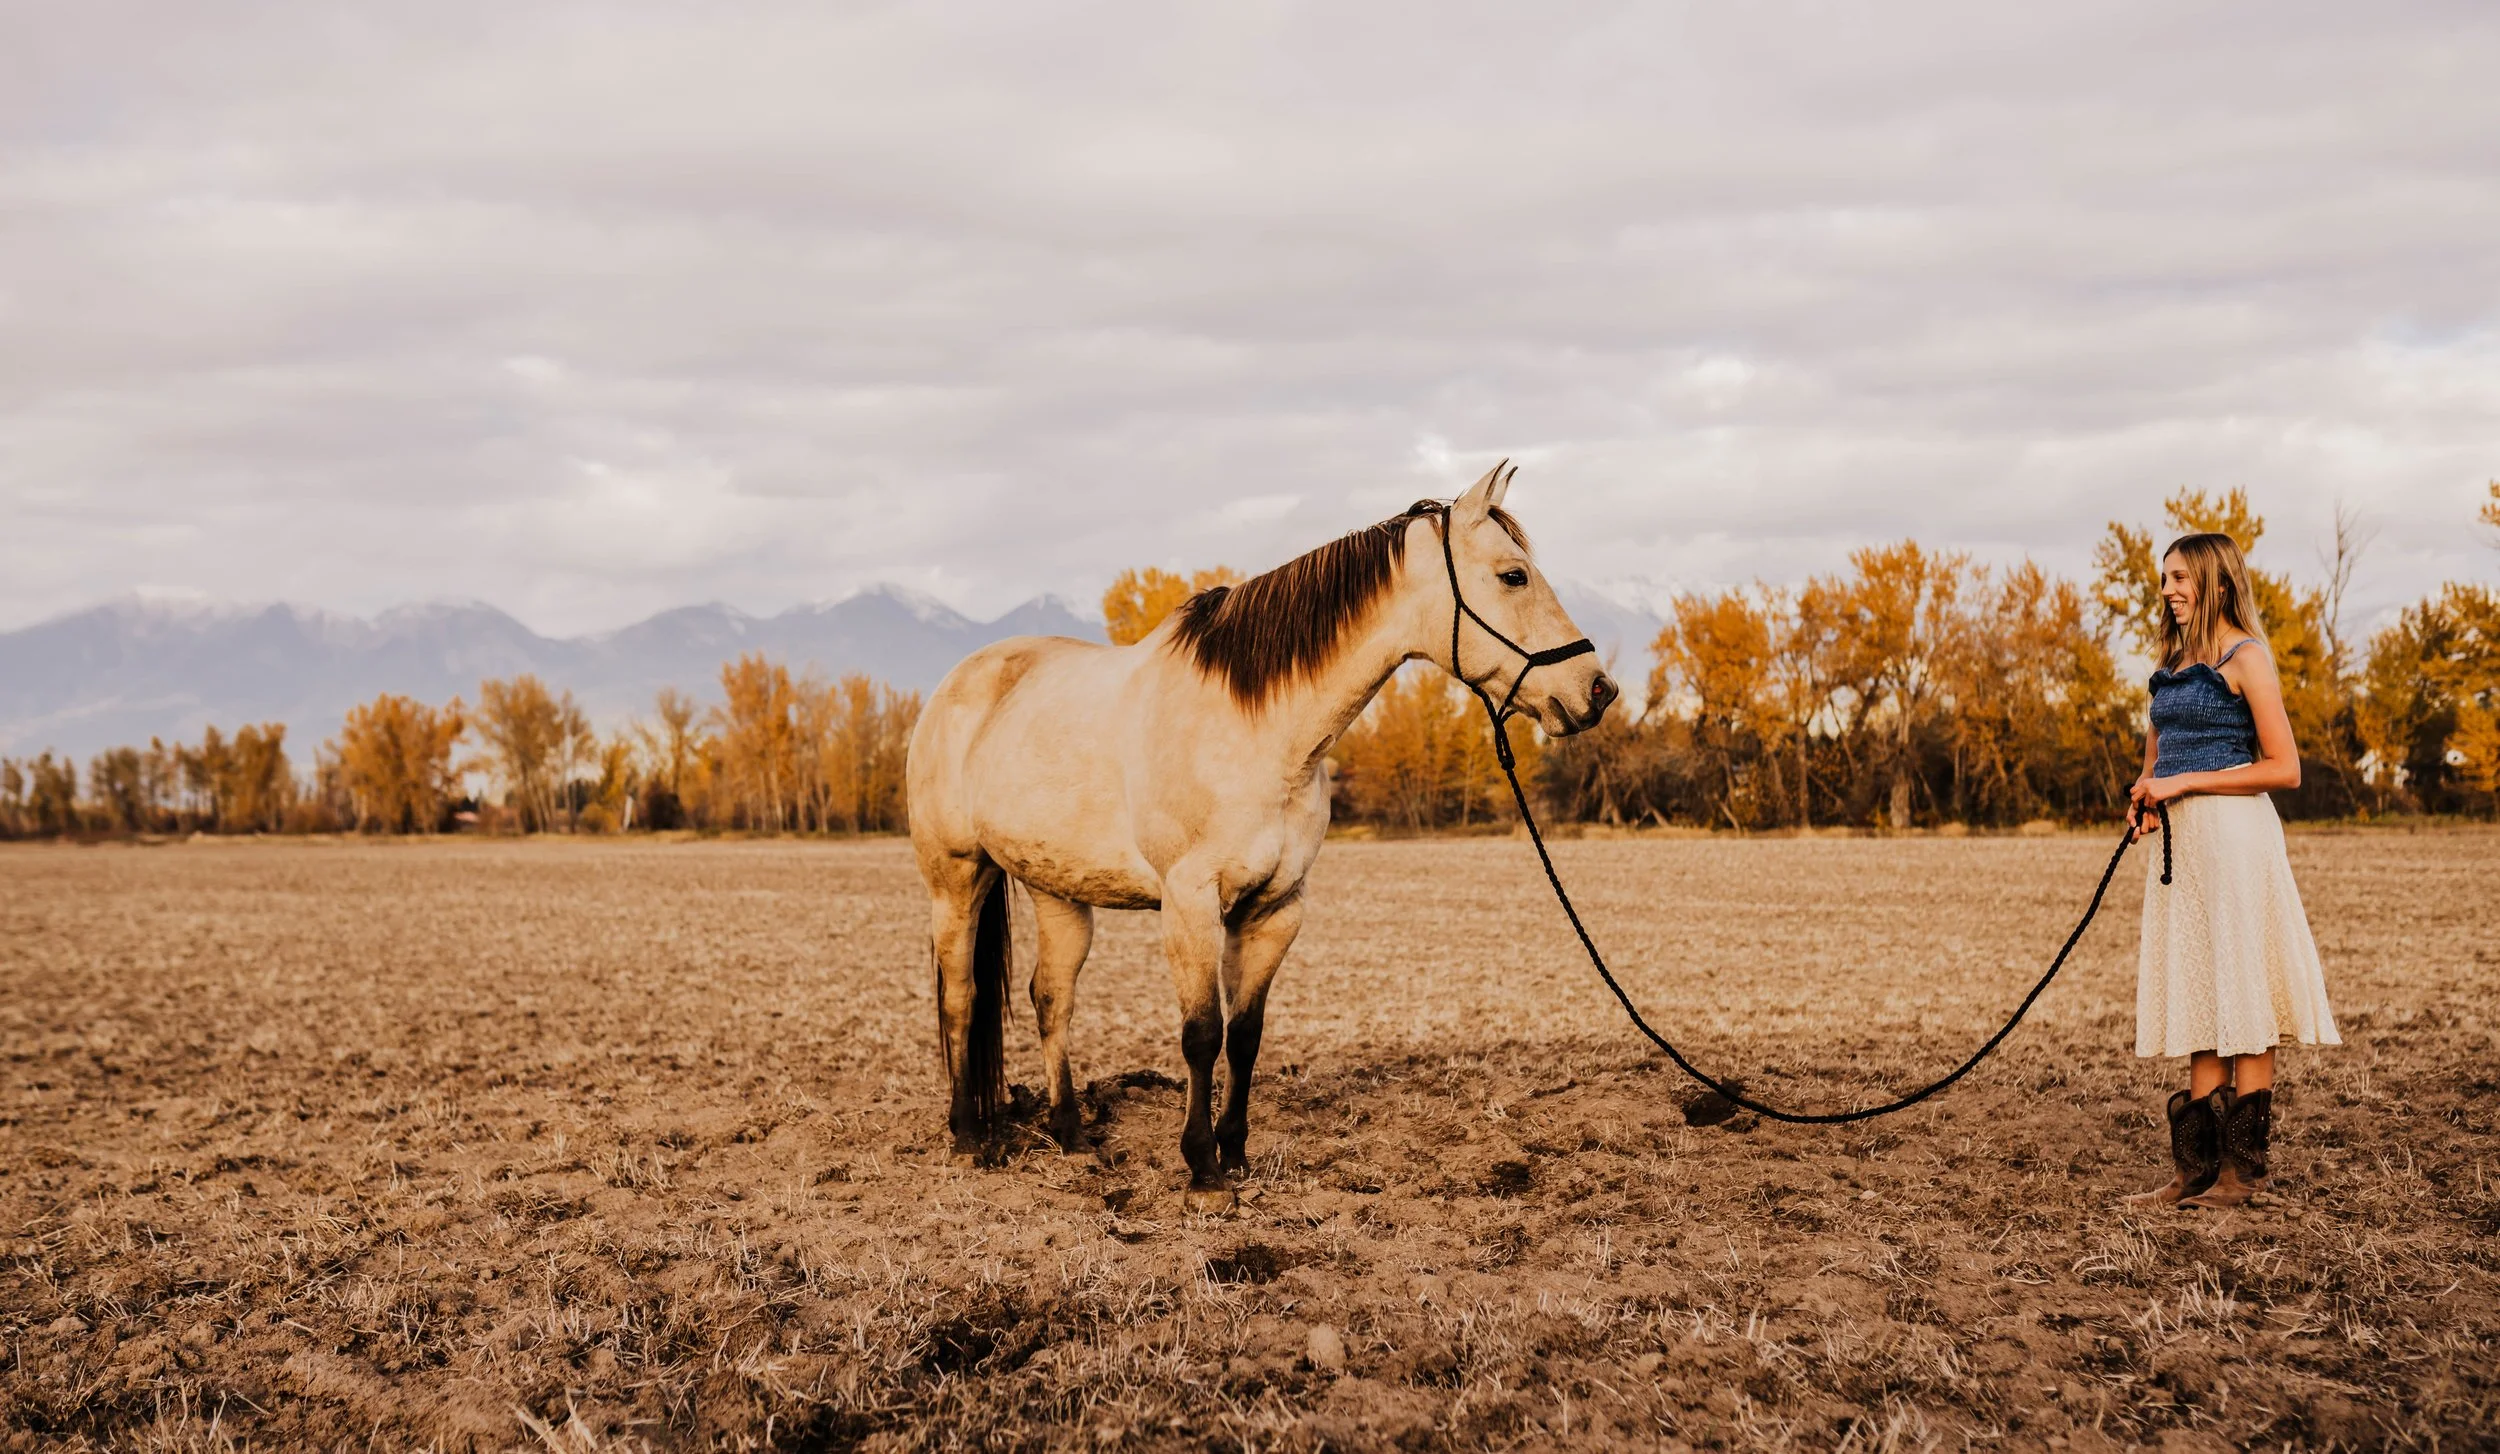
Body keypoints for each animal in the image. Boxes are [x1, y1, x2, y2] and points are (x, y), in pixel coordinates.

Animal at [905, 464, 1618, 1210]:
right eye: (1514, 575)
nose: (1597, 690)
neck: (1262, 730)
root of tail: (958, 684)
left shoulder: (1275, 908)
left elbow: (1245, 1035)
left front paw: (1236, 1153)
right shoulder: (1191, 905)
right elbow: (1201, 1034)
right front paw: (1202, 1171)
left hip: (1058, 891)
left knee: (1052, 999)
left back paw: (1071, 1135)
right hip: (956, 879)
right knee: (961, 996)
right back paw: (968, 1137)